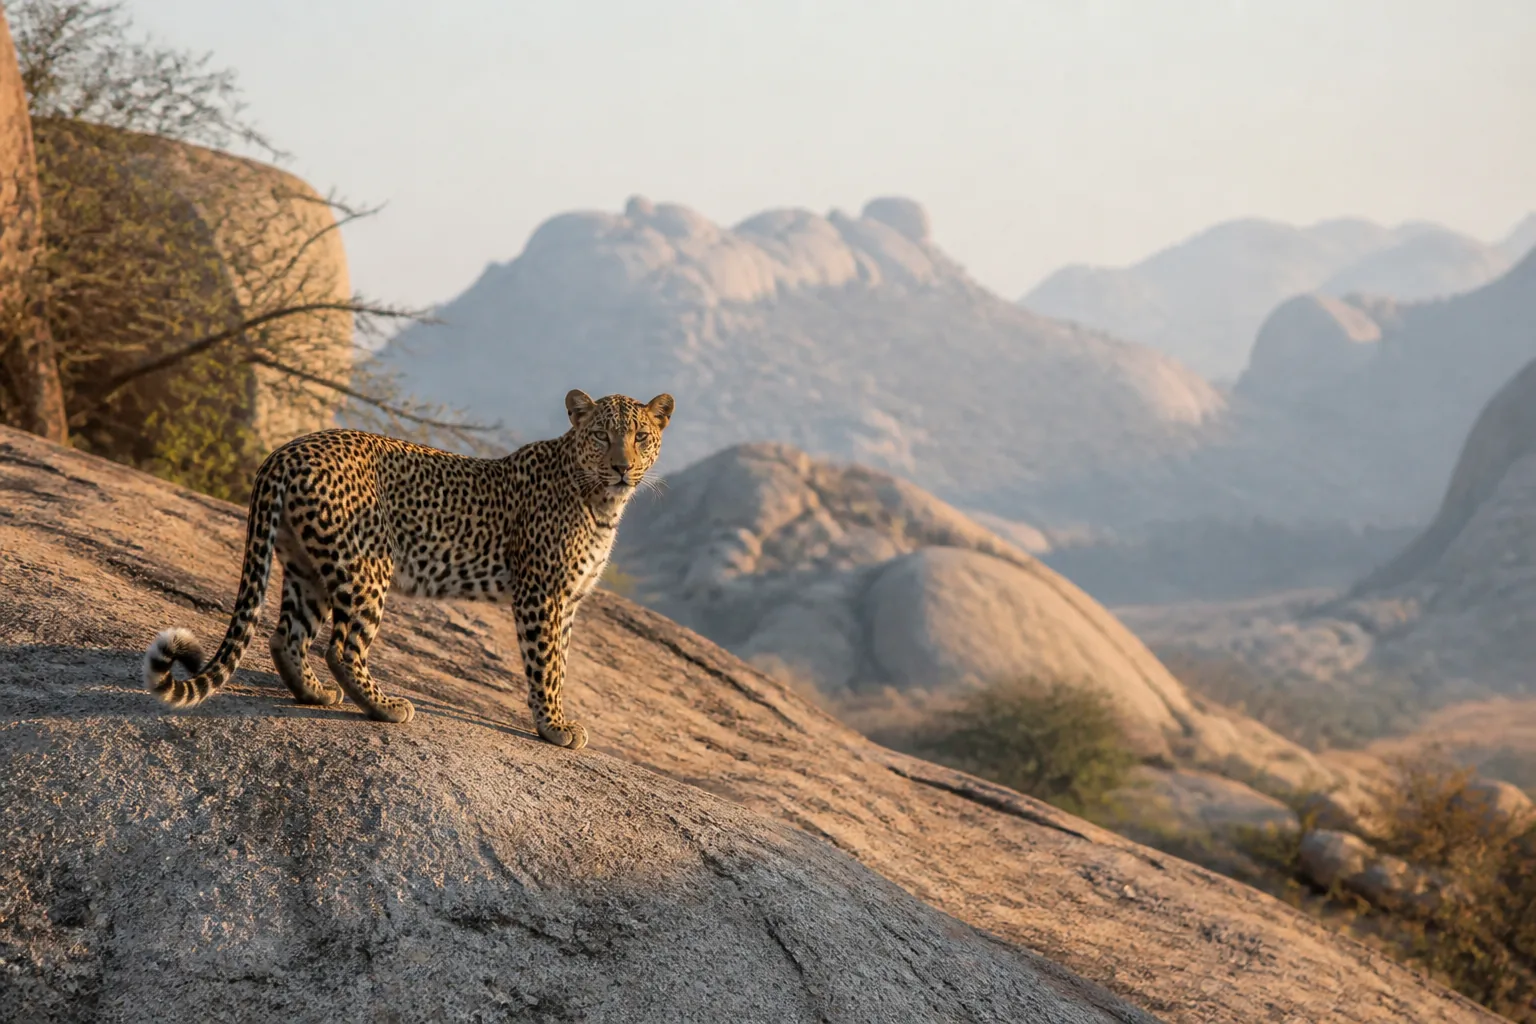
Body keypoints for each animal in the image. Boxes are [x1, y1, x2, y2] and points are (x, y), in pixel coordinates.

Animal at [142, 389, 674, 750]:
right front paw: (553, 727)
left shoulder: (569, 599)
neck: (604, 502)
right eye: (602, 436)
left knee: (285, 637)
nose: (623, 467)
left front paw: (557, 719)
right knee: (342, 649)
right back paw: (386, 707)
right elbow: (546, 664)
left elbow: (560, 662)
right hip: (367, 563)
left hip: (306, 566)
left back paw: (316, 695)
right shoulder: (542, 594)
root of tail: (286, 450)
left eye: (641, 437)